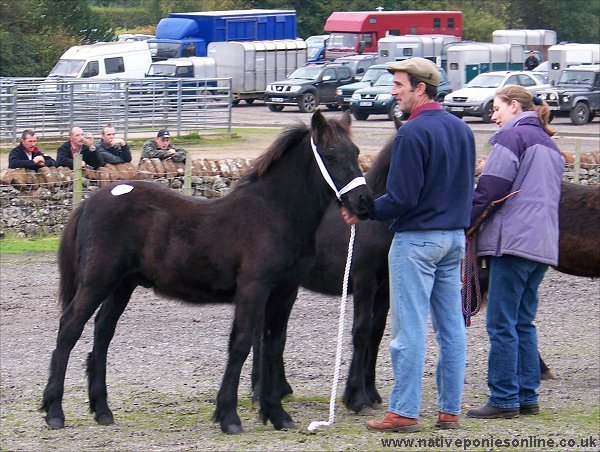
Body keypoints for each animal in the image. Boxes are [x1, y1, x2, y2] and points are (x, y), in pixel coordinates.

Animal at [39, 110, 372, 434]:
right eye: (330, 155)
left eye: (355, 152)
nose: (364, 201)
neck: (274, 213)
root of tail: (92, 201)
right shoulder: (253, 289)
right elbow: (242, 345)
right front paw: (230, 417)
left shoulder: (284, 293)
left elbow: (273, 346)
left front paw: (277, 415)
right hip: (97, 282)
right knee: (69, 329)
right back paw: (54, 411)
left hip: (122, 285)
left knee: (103, 333)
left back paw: (102, 411)